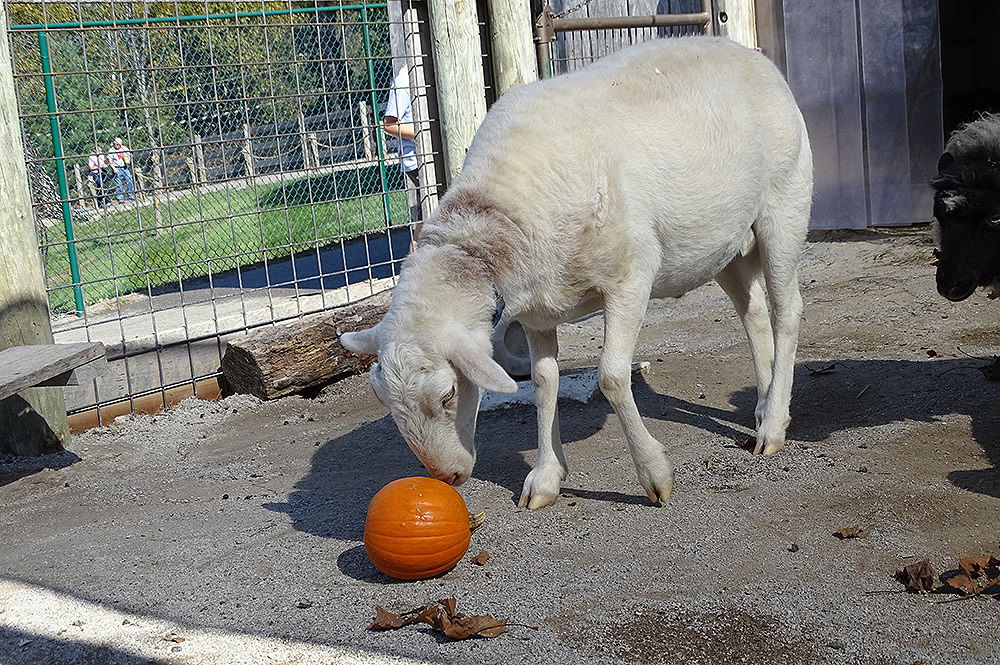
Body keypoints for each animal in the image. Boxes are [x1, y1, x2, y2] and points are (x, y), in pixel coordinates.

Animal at [342, 36, 812, 508]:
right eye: (383, 399)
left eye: (448, 393)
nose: (448, 476)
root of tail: (748, 52)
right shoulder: (536, 310)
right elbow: (544, 383)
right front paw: (546, 479)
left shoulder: (630, 276)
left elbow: (612, 376)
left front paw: (655, 475)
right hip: (724, 246)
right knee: (754, 315)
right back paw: (764, 406)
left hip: (784, 203)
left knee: (786, 312)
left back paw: (773, 426)